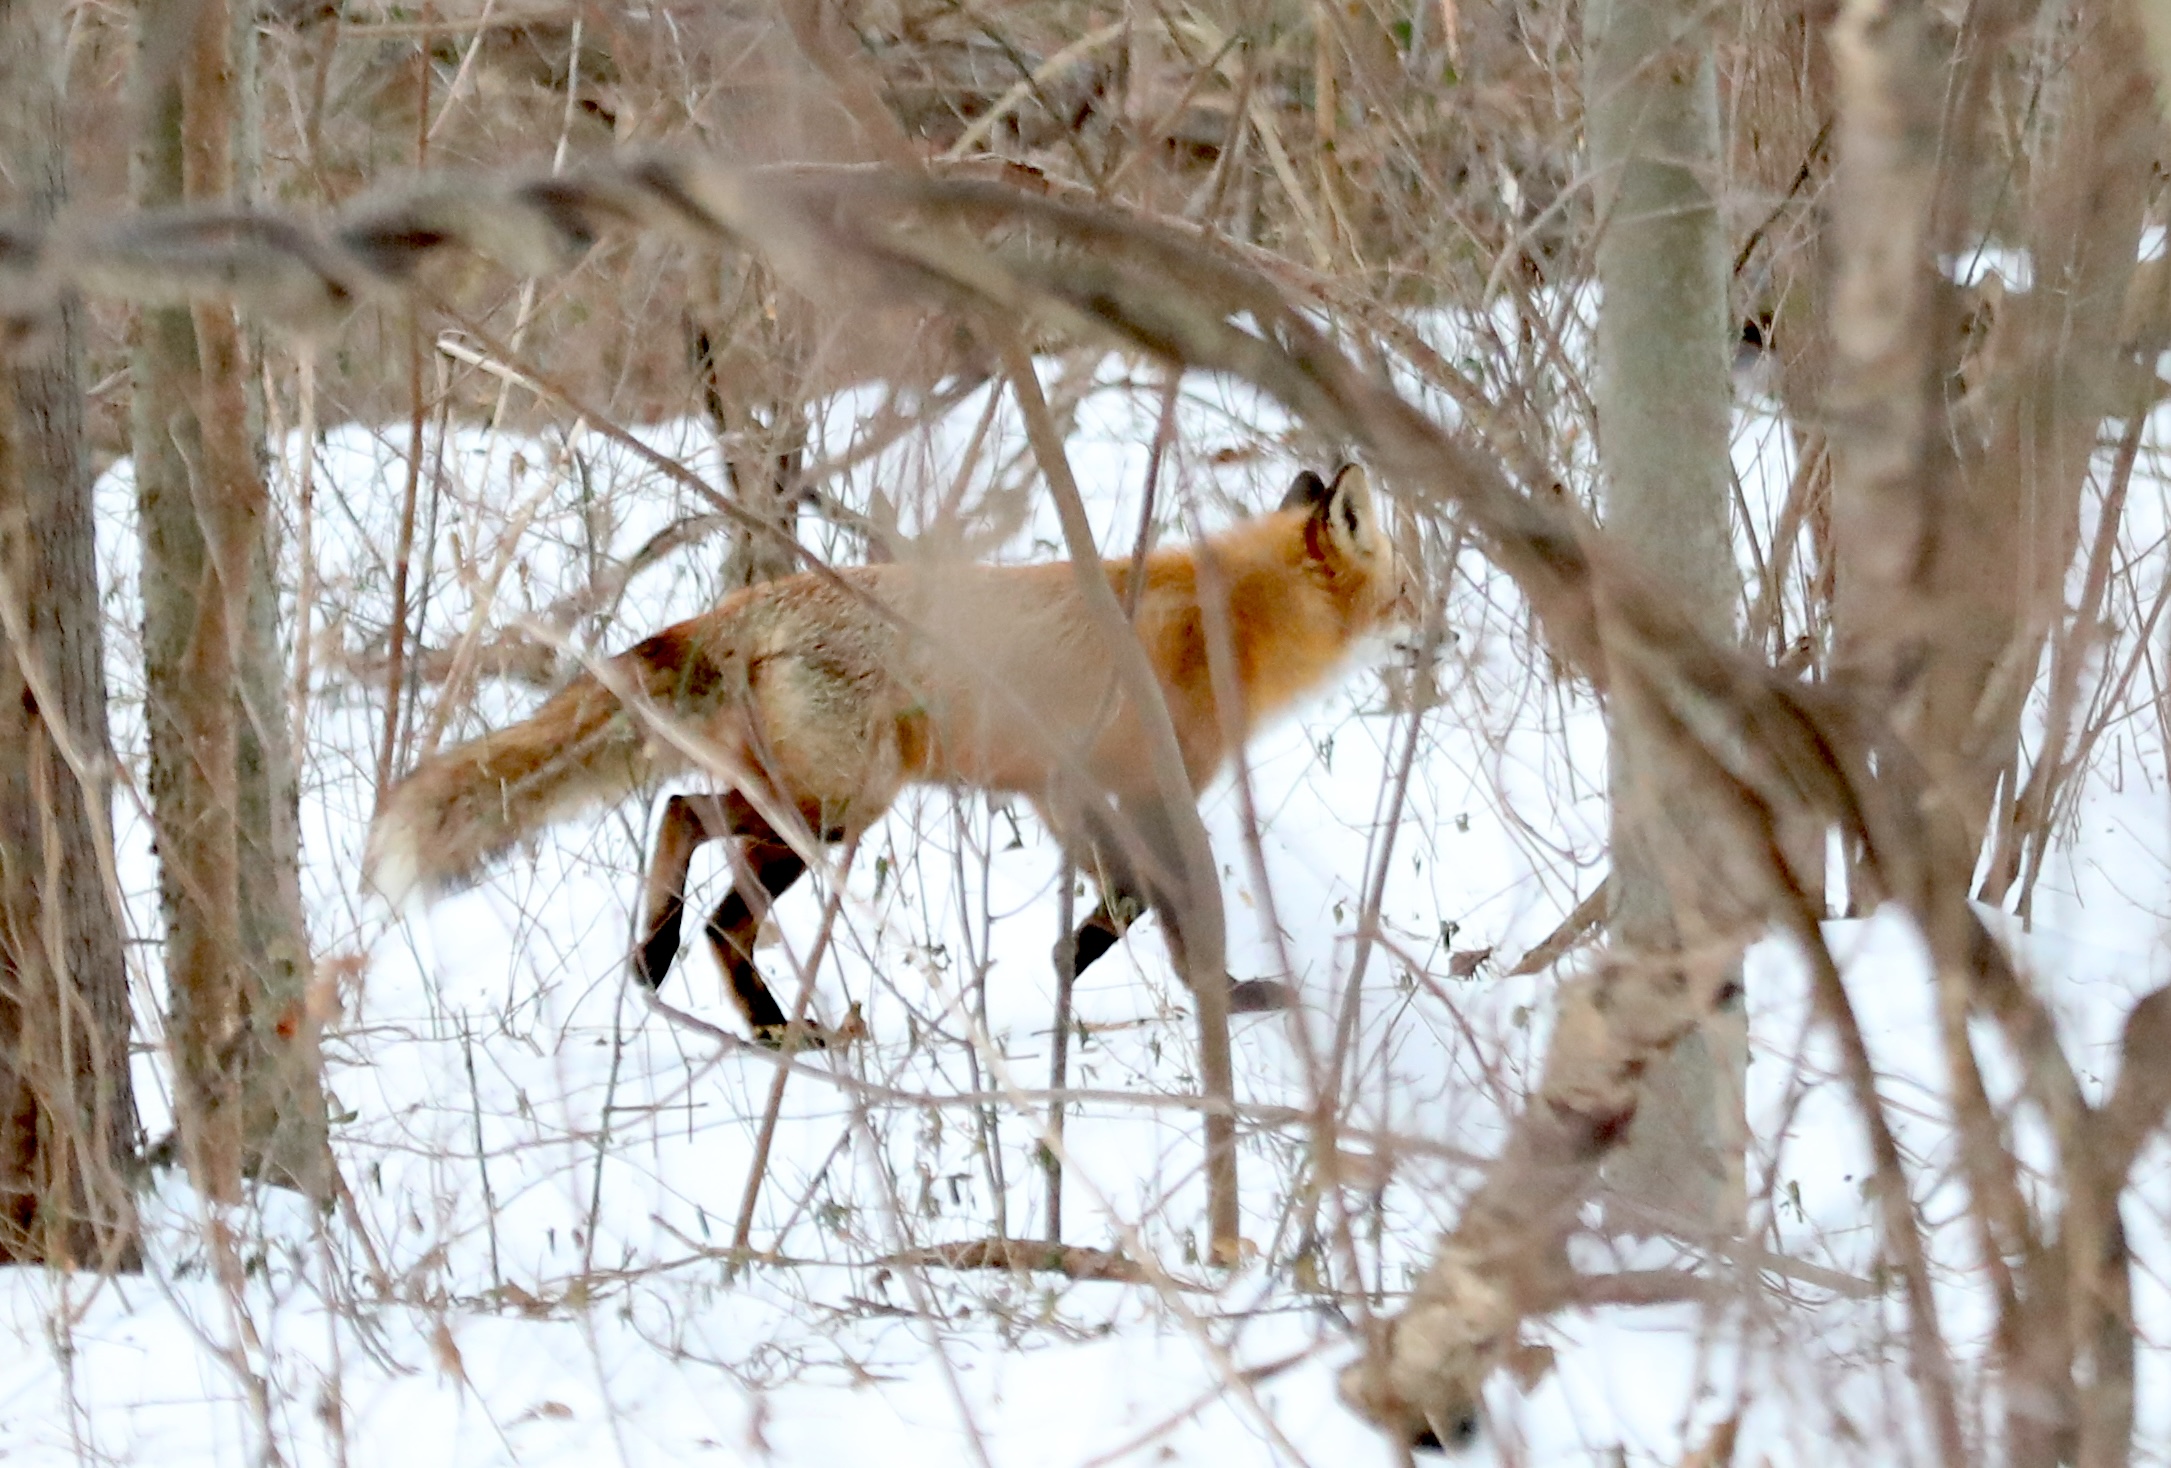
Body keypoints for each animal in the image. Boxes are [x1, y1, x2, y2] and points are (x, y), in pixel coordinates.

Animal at [366, 462, 1407, 1046]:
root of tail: (748, 603)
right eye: (1410, 591)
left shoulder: (1062, 790)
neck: (1232, 623)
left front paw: (1083, 969)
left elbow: (1126, 902)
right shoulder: (1149, 789)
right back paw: (779, 1028)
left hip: (801, 802)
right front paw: (1210, 996)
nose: (1435, 635)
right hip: (836, 814)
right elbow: (1175, 907)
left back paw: (657, 955)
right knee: (722, 917)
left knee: (680, 814)